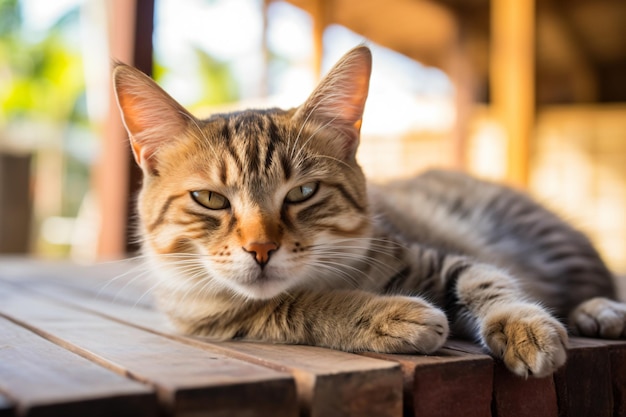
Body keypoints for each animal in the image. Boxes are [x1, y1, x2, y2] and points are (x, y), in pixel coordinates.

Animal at [112, 45, 624, 376]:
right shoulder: (213, 318)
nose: (261, 249)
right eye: (211, 199)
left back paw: (600, 309)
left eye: (303, 192)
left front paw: (522, 324)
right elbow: (293, 305)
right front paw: (389, 314)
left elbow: (487, 282)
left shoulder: (432, 257)